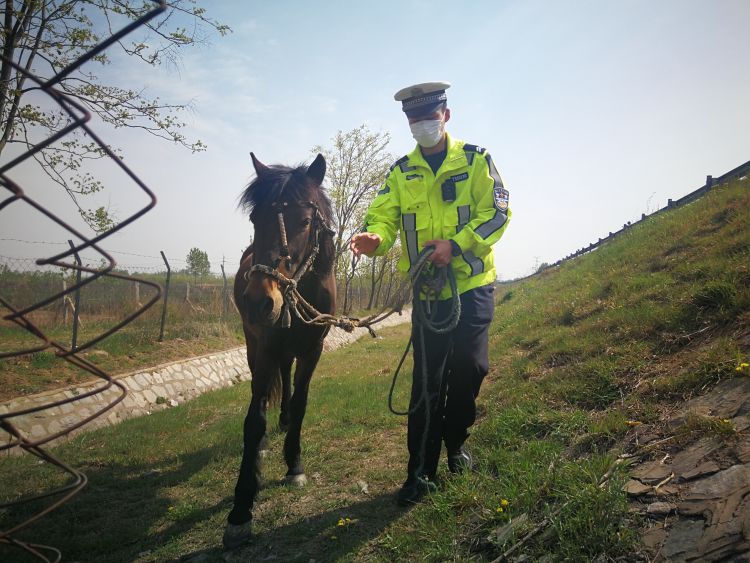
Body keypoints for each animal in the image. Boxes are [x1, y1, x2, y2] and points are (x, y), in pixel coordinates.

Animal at [223, 152, 334, 548]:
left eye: (305, 221)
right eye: (256, 220)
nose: (259, 301)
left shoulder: (313, 349)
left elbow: (300, 403)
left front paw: (294, 465)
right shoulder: (266, 349)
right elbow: (254, 420)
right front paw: (241, 507)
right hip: (254, 345)